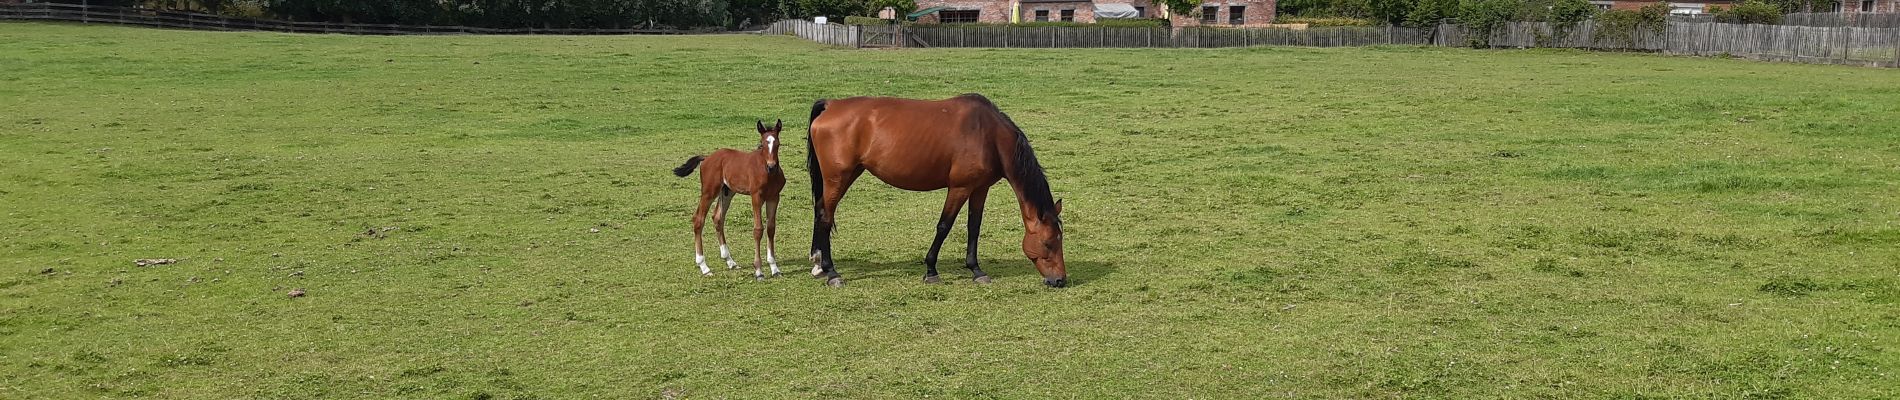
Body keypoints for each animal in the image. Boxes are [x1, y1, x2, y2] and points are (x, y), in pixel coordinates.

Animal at [676, 120, 786, 280]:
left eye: (777, 143)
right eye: (762, 144)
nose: (771, 166)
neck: (767, 173)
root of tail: (707, 158)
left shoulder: (774, 197)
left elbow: (771, 228)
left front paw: (774, 268)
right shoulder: (756, 197)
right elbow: (758, 229)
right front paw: (758, 271)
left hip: (727, 192)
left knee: (717, 218)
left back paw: (730, 261)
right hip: (709, 192)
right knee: (698, 219)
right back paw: (704, 267)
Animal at [805, 93, 1071, 288]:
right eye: (1048, 243)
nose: (1059, 280)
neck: (988, 134)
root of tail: (831, 105)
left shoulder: (980, 188)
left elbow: (974, 227)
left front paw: (976, 270)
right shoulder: (960, 188)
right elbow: (944, 226)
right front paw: (931, 270)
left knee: (820, 211)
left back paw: (818, 264)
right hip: (837, 178)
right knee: (826, 216)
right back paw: (832, 272)